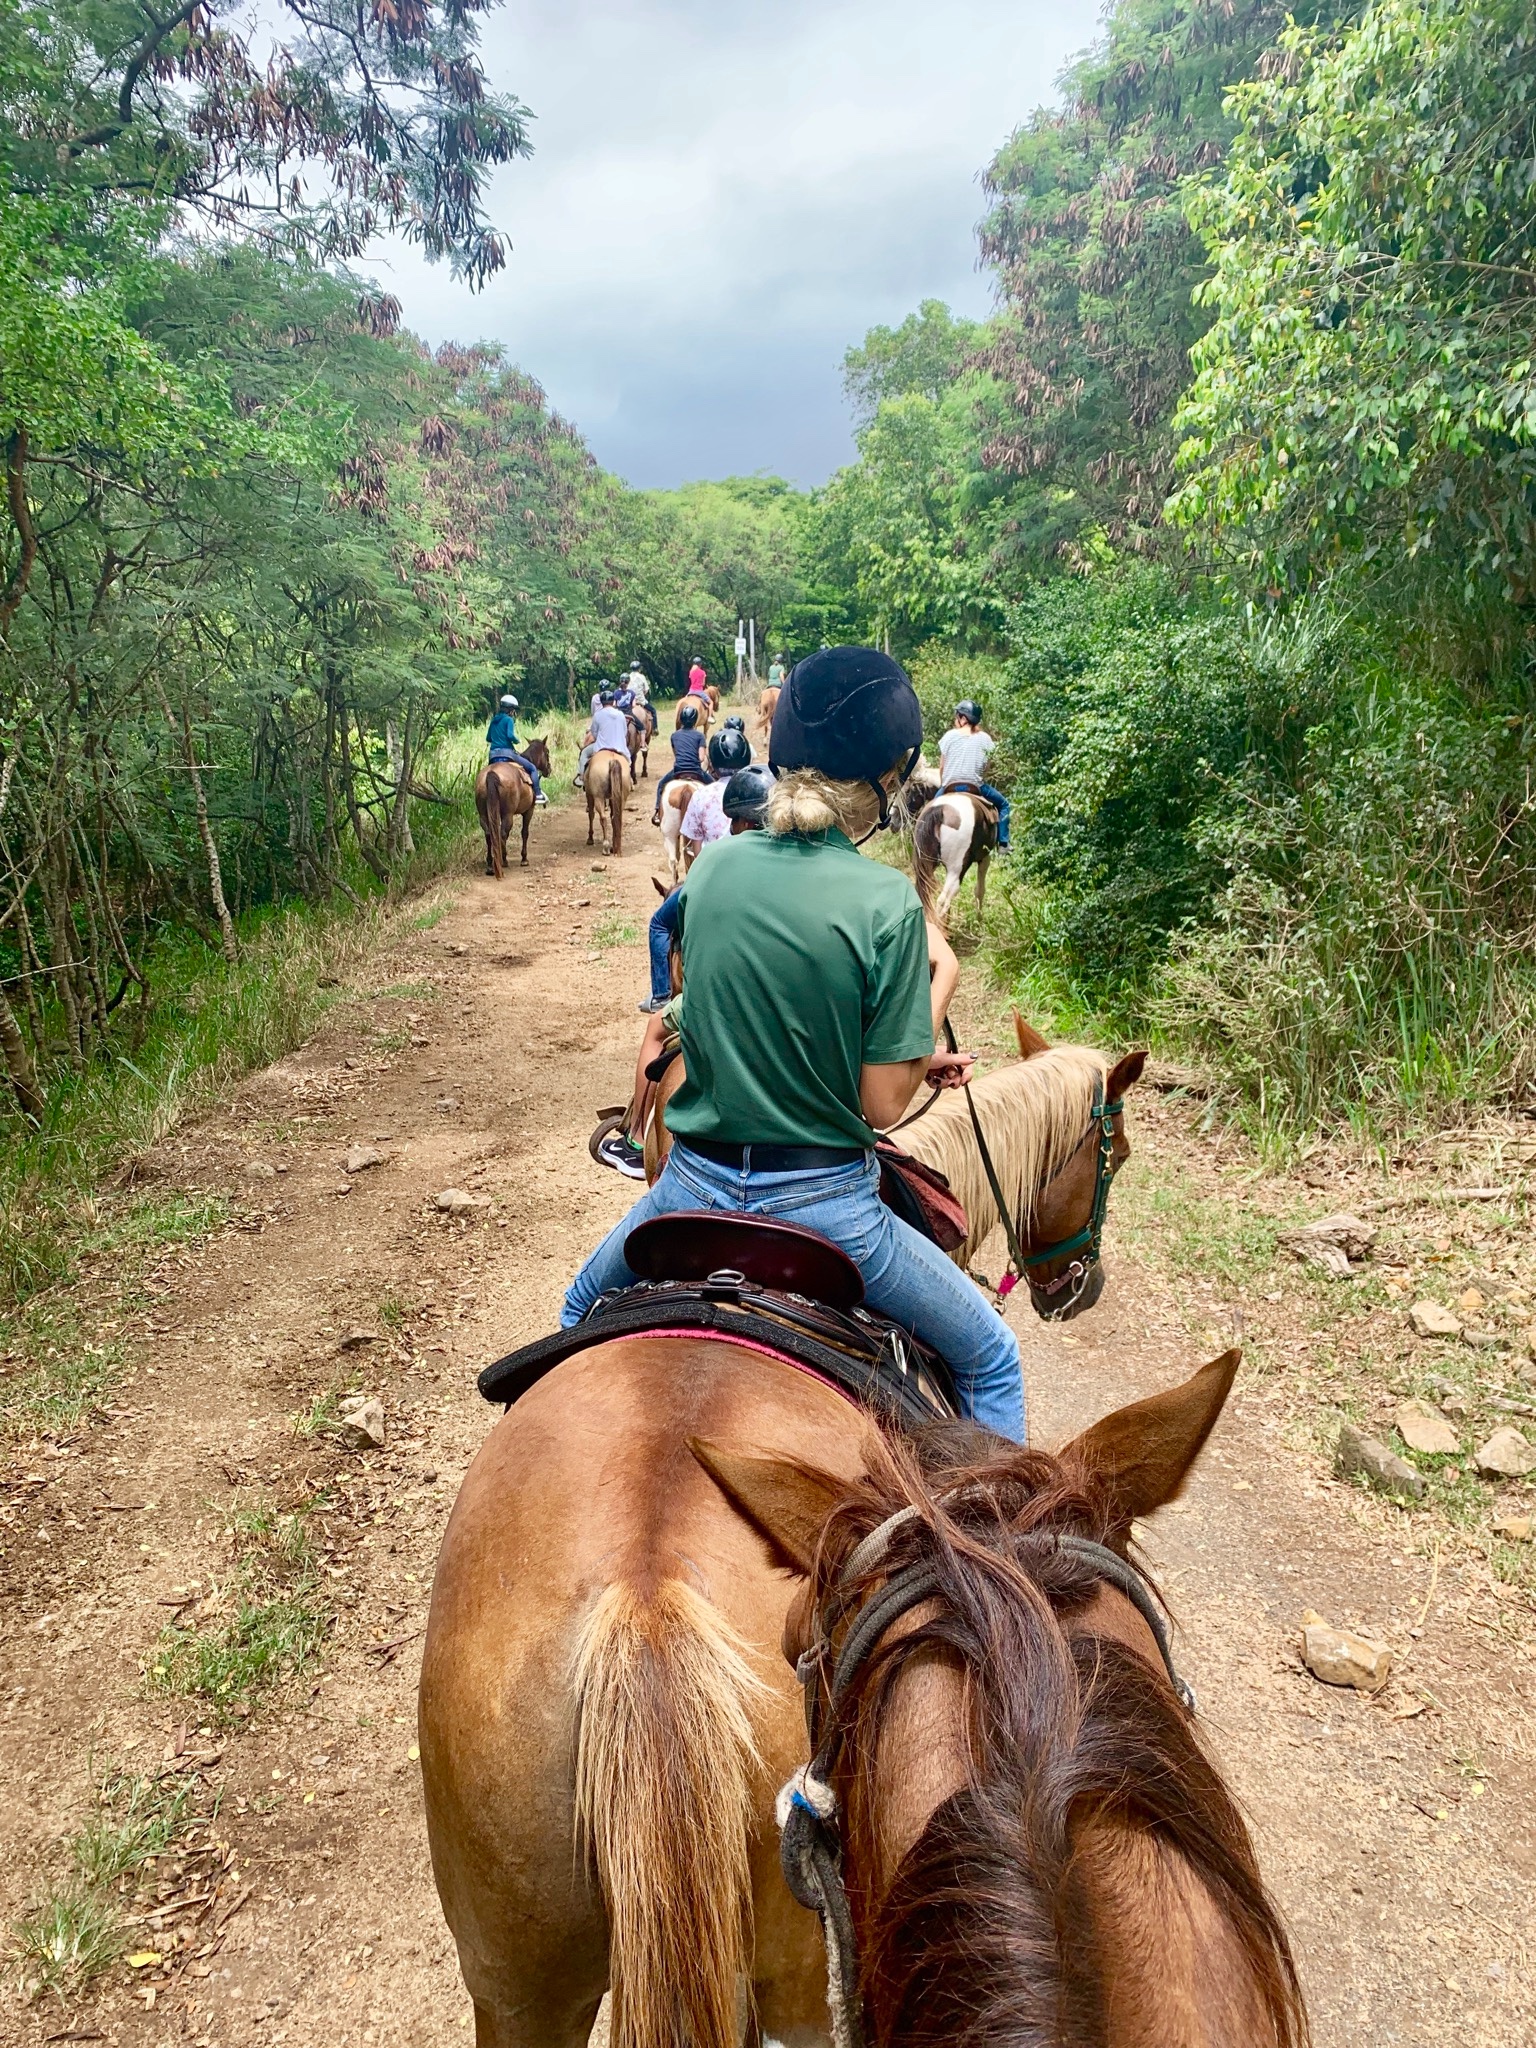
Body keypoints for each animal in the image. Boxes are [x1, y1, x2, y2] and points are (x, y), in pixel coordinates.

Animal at [481, 741, 561, 876]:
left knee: (488, 834)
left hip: (483, 814)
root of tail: (492, 773)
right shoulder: (528, 811)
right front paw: (524, 859)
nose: (549, 769)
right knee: (503, 833)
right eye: (547, 752)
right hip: (508, 814)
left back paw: (490, 865)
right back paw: (504, 860)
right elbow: (525, 833)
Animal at [913, 786, 999, 925]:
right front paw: (979, 920)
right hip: (956, 871)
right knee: (943, 902)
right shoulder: (985, 858)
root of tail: (939, 809)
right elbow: (980, 890)